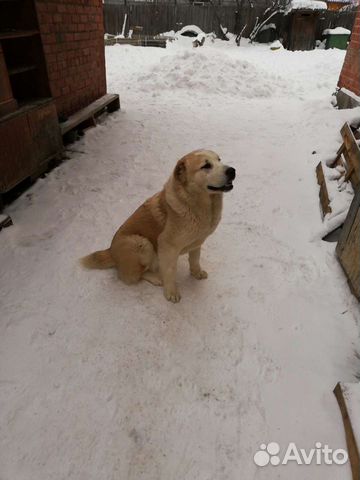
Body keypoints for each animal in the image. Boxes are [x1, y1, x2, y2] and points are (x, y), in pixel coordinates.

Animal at [80, 149, 235, 304]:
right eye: (206, 166)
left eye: (219, 160)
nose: (232, 171)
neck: (197, 205)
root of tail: (111, 251)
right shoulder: (167, 246)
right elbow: (170, 271)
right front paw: (171, 293)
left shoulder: (196, 243)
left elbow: (195, 260)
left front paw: (196, 273)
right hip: (141, 242)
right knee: (134, 275)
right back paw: (156, 278)